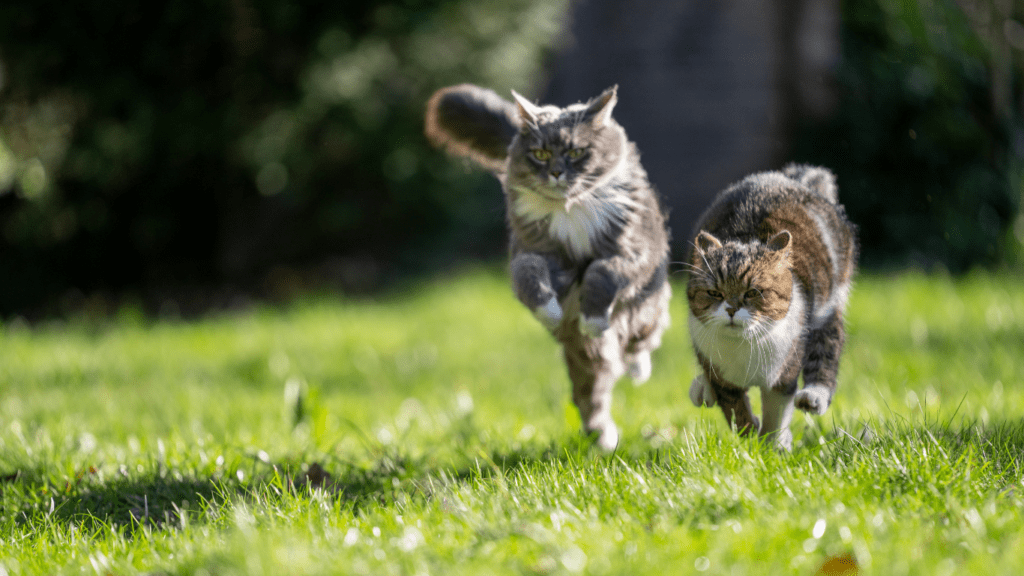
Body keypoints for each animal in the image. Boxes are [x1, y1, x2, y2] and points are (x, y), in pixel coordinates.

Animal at [423, 84, 671, 448]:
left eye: (576, 152)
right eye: (540, 154)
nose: (555, 172)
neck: (570, 210)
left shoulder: (631, 253)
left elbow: (601, 274)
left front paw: (593, 319)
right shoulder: (537, 254)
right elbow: (530, 277)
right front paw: (550, 311)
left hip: (648, 304)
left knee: (643, 340)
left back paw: (637, 369)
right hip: (586, 357)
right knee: (591, 397)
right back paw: (604, 441)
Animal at [684, 162, 860, 448]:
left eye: (753, 292)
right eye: (714, 293)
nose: (731, 309)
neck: (743, 348)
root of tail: (790, 177)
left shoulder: (782, 376)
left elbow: (776, 414)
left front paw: (772, 446)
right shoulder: (724, 380)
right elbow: (736, 412)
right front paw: (750, 436)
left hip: (829, 307)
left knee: (827, 349)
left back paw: (814, 394)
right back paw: (702, 388)